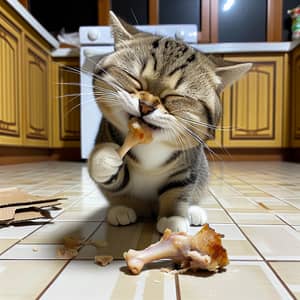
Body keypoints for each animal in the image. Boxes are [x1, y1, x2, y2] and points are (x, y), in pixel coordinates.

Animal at [88, 11, 252, 233]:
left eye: (176, 96)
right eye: (135, 80)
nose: (146, 106)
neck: (151, 145)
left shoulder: (187, 168)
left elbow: (176, 191)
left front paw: (172, 218)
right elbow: (115, 180)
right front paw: (108, 159)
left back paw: (193, 211)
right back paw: (120, 209)